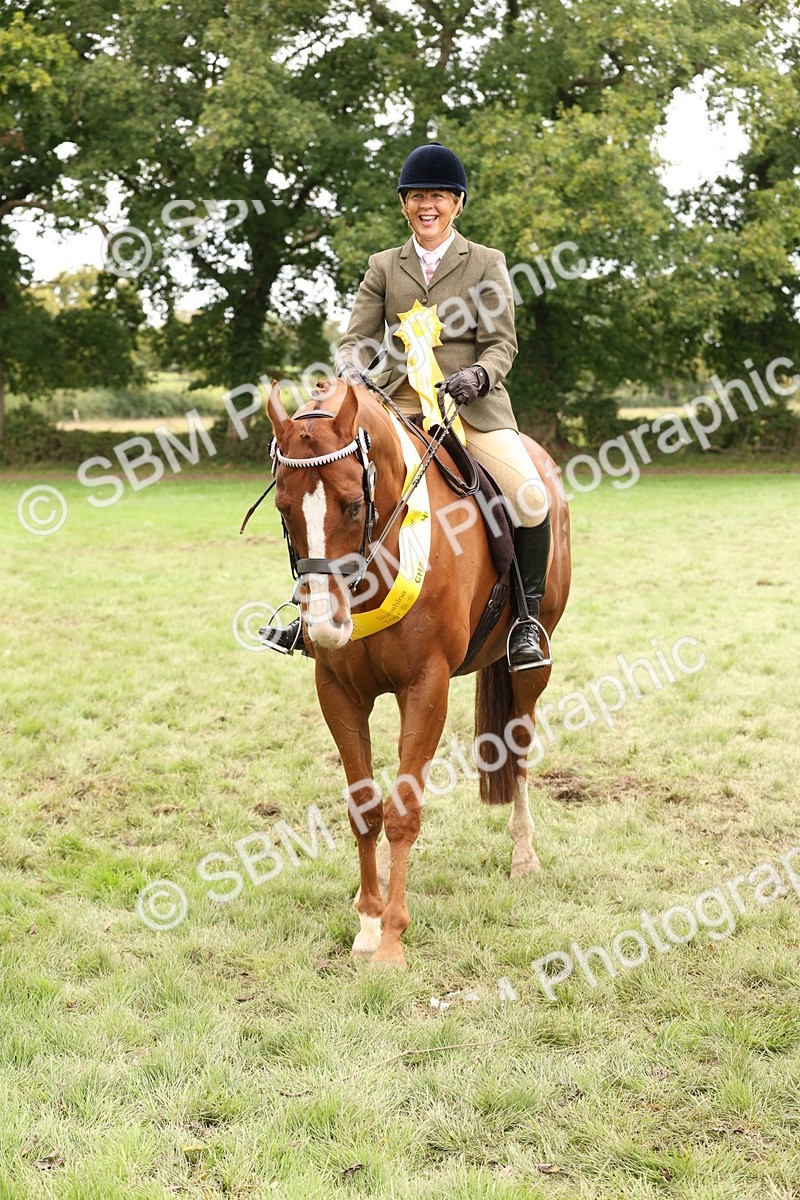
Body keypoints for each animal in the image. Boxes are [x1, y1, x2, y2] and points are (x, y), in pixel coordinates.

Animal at [266, 377, 571, 967]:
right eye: (283, 508)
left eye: (353, 504)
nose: (324, 627)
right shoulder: (338, 690)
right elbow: (366, 807)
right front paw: (367, 922)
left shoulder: (426, 687)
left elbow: (404, 810)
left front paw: (390, 939)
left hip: (530, 665)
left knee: (520, 745)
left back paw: (524, 856)